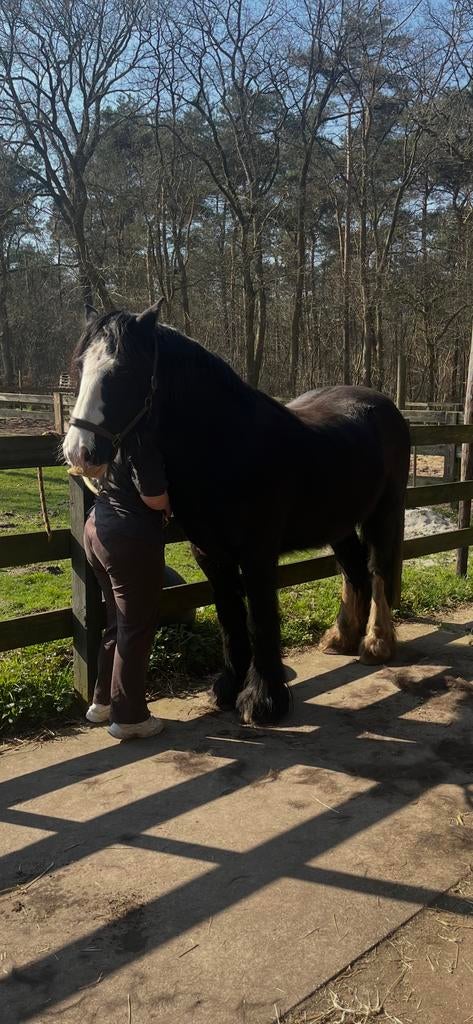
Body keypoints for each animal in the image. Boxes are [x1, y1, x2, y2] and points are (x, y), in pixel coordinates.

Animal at [63, 301, 411, 727]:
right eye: (81, 368)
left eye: (124, 371)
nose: (79, 451)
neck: (227, 445)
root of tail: (384, 405)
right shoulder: (210, 554)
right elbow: (230, 617)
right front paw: (229, 688)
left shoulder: (257, 554)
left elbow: (260, 618)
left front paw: (263, 701)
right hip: (338, 522)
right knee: (354, 569)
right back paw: (342, 637)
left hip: (384, 510)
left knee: (377, 569)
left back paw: (376, 643)